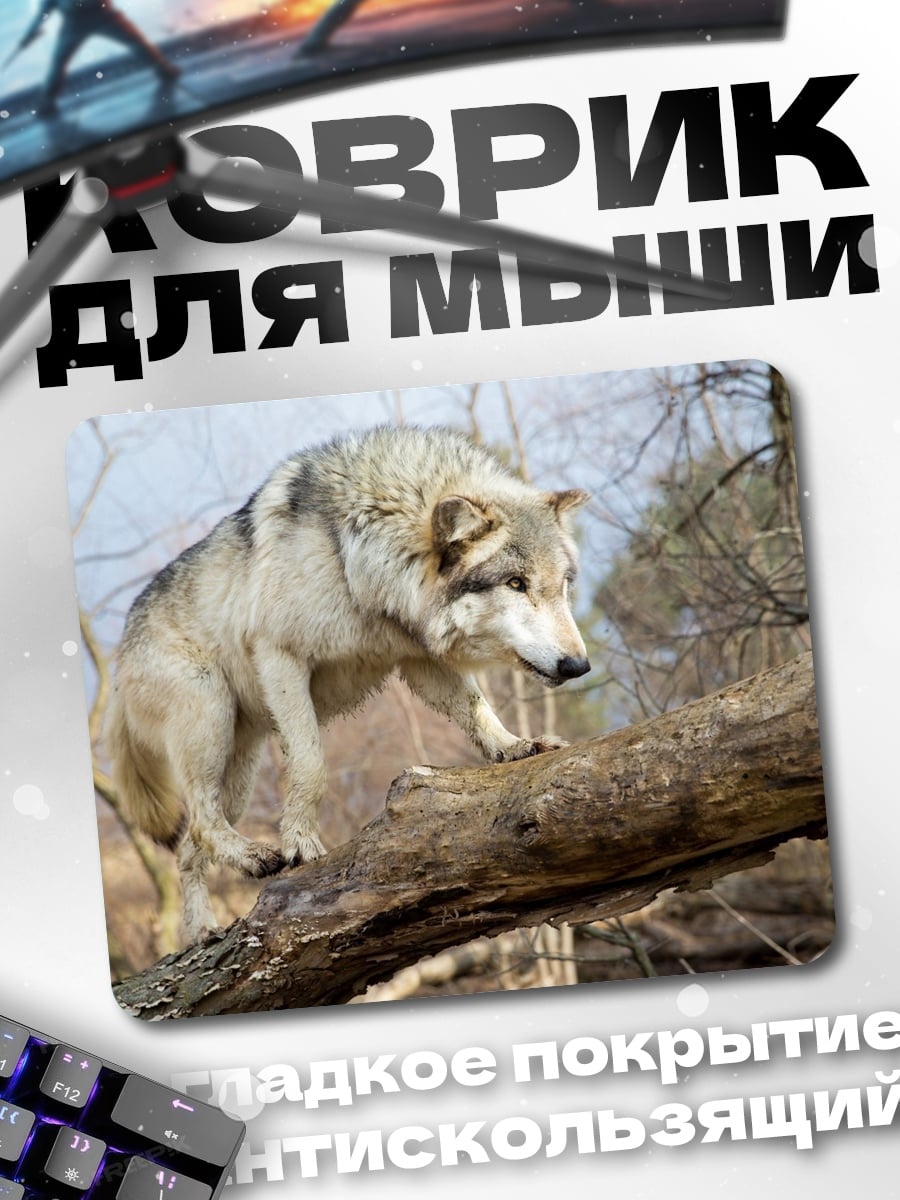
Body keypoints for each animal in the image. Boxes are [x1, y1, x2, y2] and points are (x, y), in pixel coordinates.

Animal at [106, 424, 591, 943]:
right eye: (516, 583)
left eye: (562, 584)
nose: (579, 665)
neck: (358, 559)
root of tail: (117, 663)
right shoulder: (281, 657)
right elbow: (311, 765)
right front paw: (301, 843)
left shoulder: (419, 660)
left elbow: (477, 708)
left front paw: (515, 746)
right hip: (209, 716)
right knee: (197, 820)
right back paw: (252, 860)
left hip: (238, 773)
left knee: (189, 848)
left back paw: (202, 933)